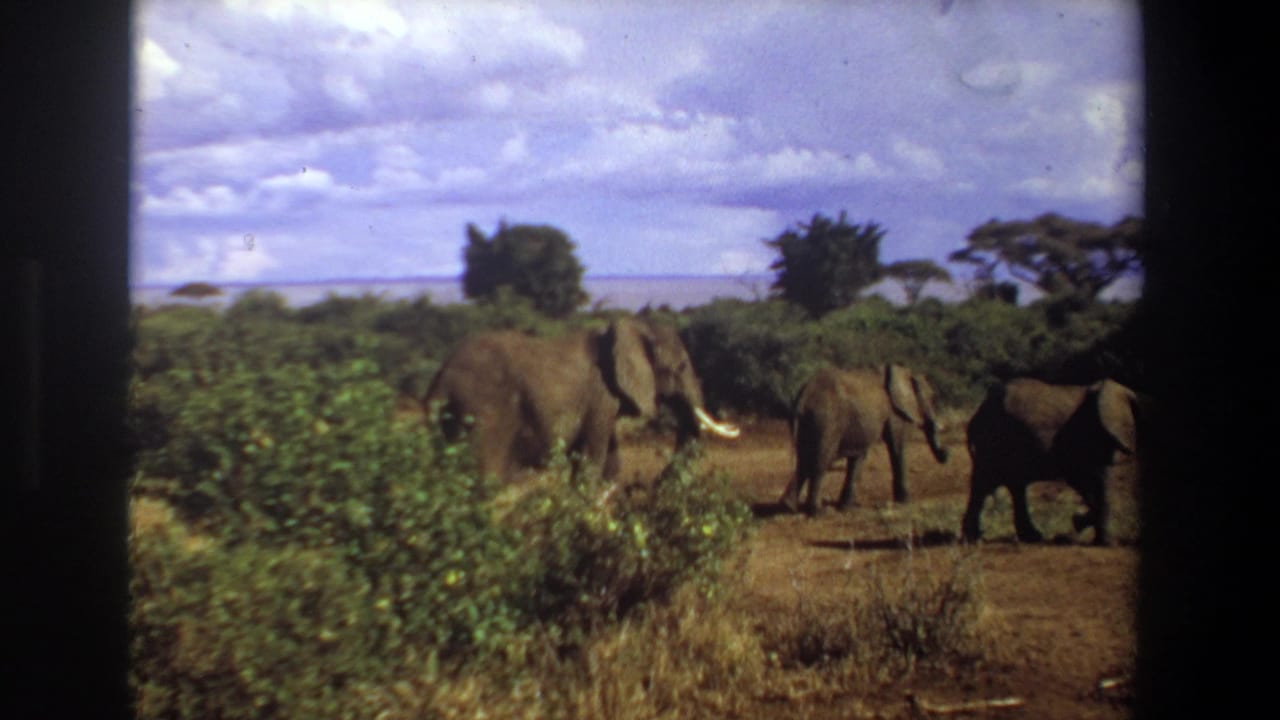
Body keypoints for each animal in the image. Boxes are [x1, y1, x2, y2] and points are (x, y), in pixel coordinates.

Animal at [423, 317, 739, 484]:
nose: (654, 484)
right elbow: (593, 460)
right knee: (488, 475)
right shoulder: (600, 397)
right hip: (484, 412)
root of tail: (441, 380)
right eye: (682, 367)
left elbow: (612, 462)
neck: (635, 328)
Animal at [778, 365, 950, 515]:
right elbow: (897, 446)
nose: (946, 453)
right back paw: (818, 513)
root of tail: (803, 396)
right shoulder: (895, 412)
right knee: (820, 461)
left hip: (811, 421)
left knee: (805, 459)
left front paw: (847, 508)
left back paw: (788, 507)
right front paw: (907, 502)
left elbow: (858, 456)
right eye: (932, 397)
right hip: (826, 419)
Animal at [961, 377, 1140, 546]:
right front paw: (1101, 539)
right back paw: (973, 540)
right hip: (993, 440)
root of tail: (979, 411)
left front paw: (1078, 523)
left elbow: (1085, 483)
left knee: (1010, 485)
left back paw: (1031, 538)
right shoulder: (1095, 435)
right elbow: (1095, 481)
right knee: (985, 483)